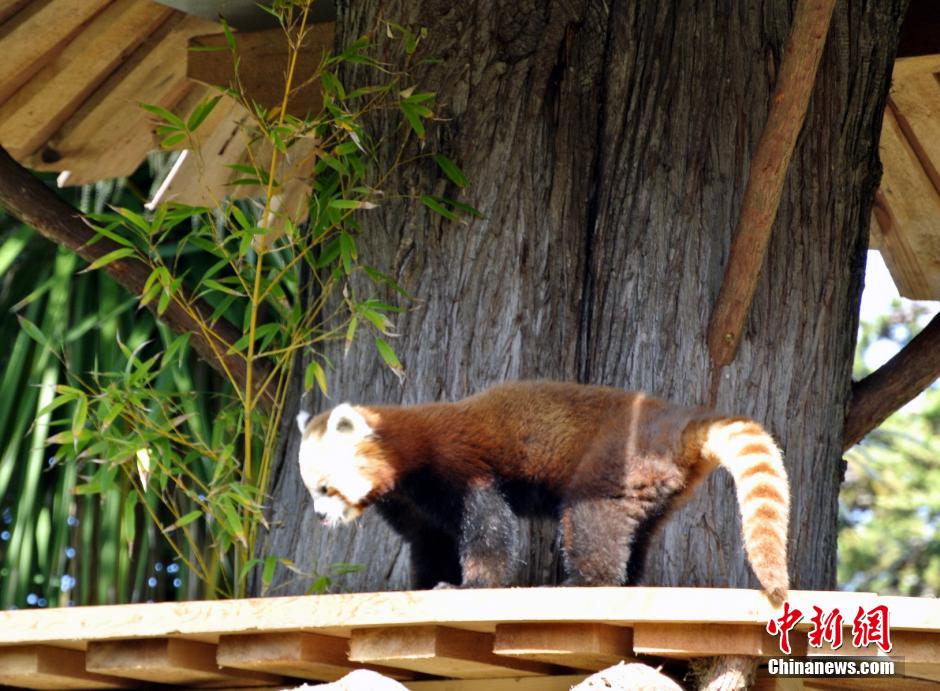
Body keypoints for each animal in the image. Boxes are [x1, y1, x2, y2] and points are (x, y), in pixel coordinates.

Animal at [296, 382, 792, 604]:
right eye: (312, 491)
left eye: (326, 488)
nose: (320, 516)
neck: (408, 451)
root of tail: (674, 418)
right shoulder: (412, 502)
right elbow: (430, 541)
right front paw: (425, 584)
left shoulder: (459, 467)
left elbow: (489, 529)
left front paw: (470, 584)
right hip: (657, 486)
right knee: (639, 534)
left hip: (613, 462)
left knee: (593, 521)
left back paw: (587, 581)